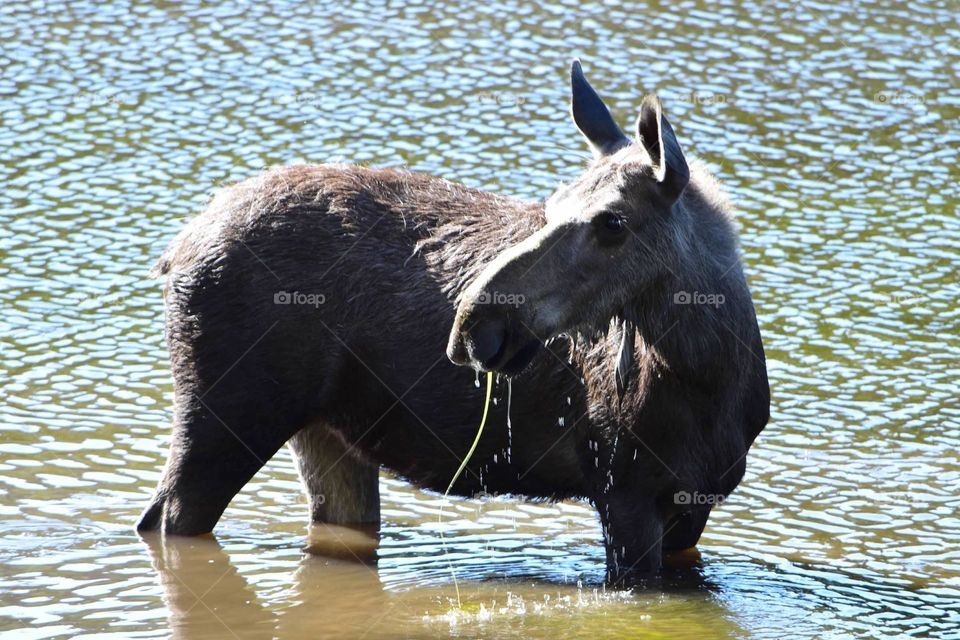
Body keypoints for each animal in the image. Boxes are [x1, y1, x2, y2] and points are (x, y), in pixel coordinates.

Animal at [135, 60, 768, 584]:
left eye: (613, 221)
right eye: (552, 204)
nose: (473, 324)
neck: (708, 378)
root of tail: (175, 250)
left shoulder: (693, 503)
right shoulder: (622, 490)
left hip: (324, 432)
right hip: (231, 413)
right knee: (165, 517)